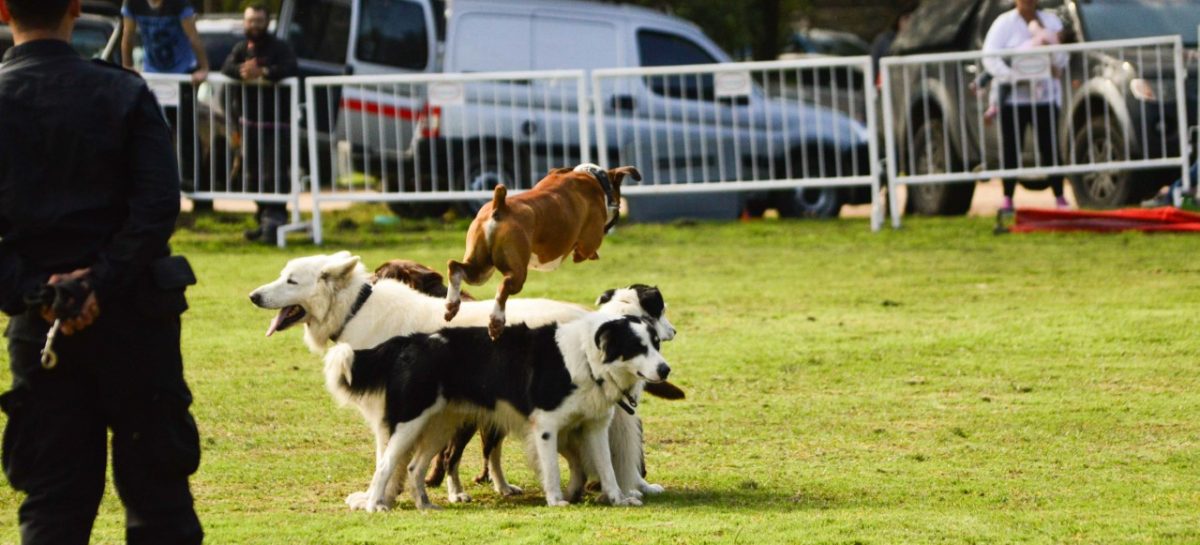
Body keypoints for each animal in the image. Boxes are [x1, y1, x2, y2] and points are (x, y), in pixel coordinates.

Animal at [446, 164, 643, 338]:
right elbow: (585, 251)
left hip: (481, 269)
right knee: (504, 286)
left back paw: (451, 305)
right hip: (515, 274)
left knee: (455, 267)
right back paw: (496, 321)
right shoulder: (587, 244)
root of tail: (500, 206)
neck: (591, 177)